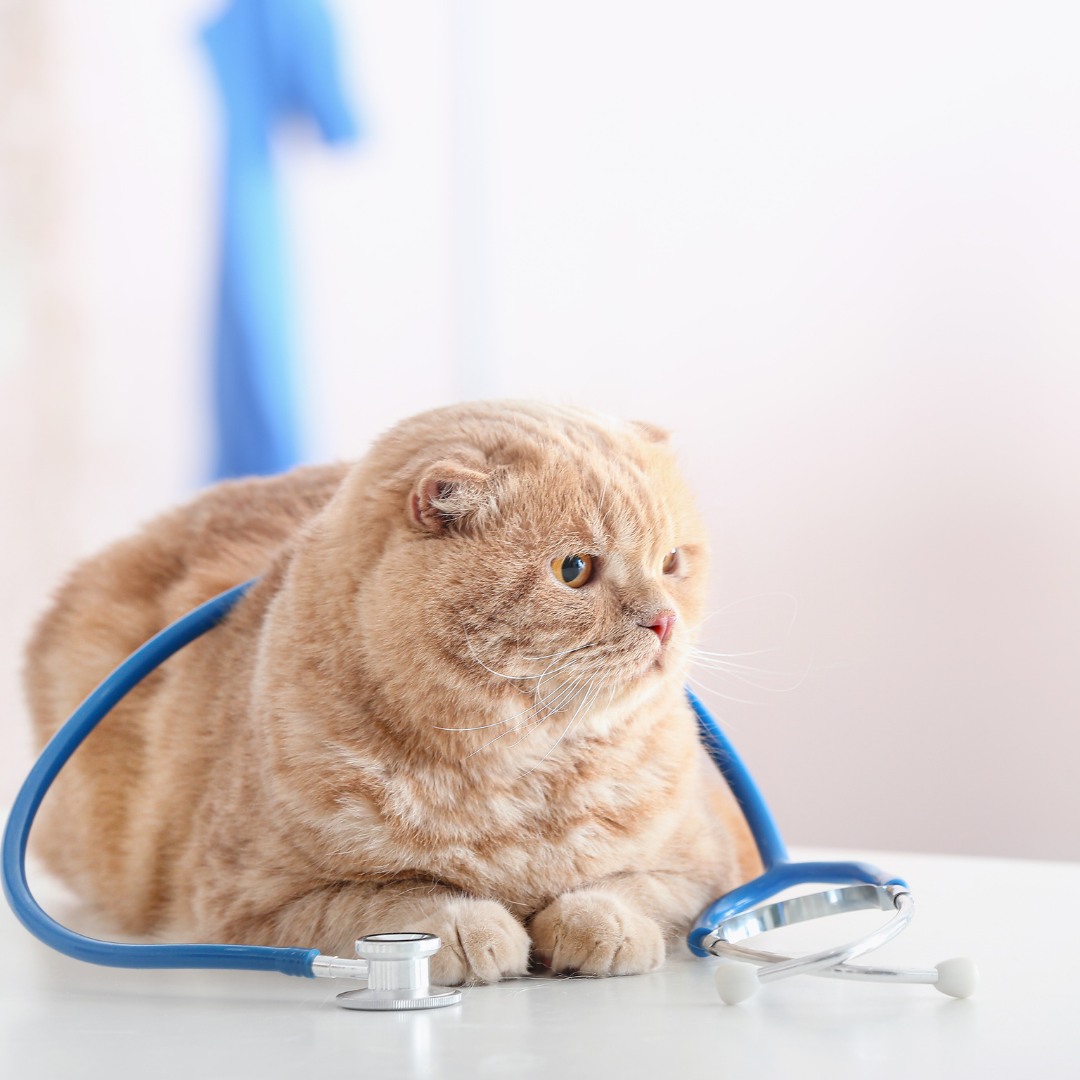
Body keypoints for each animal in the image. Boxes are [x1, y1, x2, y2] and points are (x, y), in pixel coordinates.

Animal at [27, 401, 768, 984]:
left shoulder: (710, 868)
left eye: (672, 562)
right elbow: (390, 899)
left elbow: (634, 890)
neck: (520, 778)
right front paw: (470, 928)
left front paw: (600, 923)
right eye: (573, 570)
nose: (663, 621)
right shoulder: (254, 904)